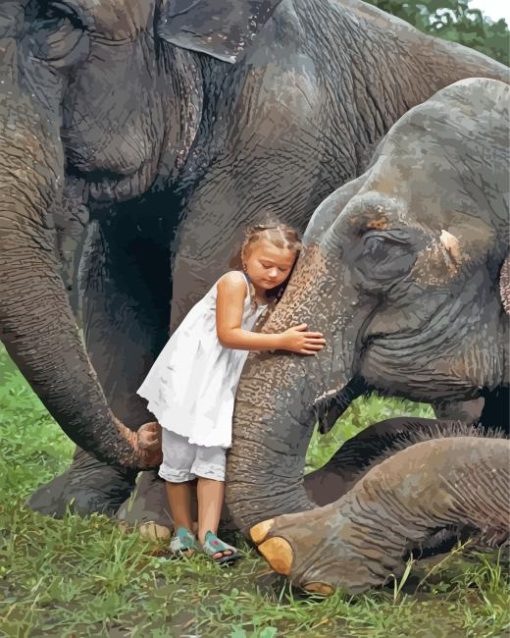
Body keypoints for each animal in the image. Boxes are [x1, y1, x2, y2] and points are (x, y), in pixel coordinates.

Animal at [0, 0, 510, 516]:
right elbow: (114, 295)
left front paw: (151, 520)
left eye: (56, 19)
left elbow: (205, 274)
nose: (146, 438)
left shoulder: (285, 141)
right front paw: (67, 506)